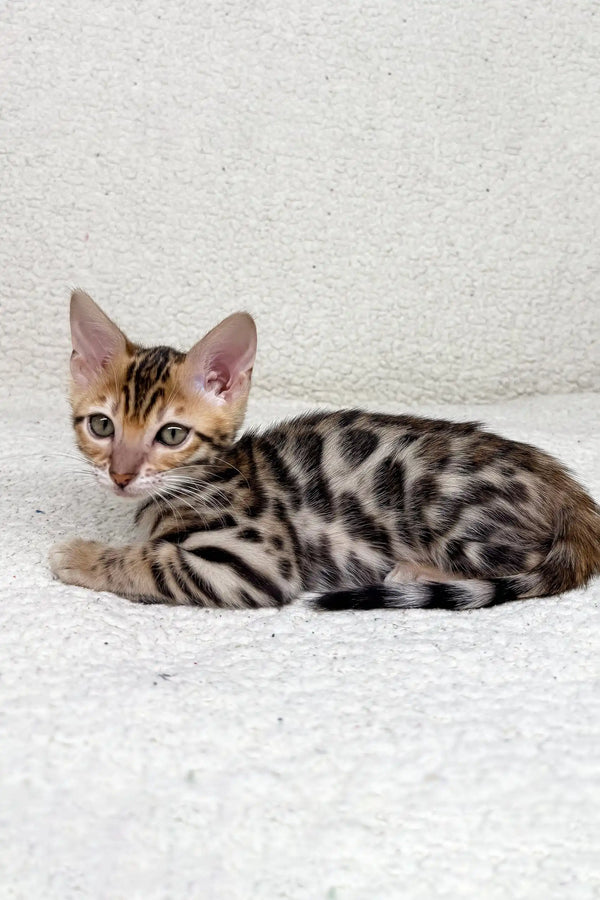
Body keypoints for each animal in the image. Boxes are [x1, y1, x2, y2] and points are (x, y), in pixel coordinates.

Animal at [50, 292, 600, 608]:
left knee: (527, 561)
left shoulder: (256, 562)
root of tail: (563, 486)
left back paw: (412, 570)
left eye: (170, 435)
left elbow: (154, 560)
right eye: (102, 426)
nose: (121, 475)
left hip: (442, 504)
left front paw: (81, 554)